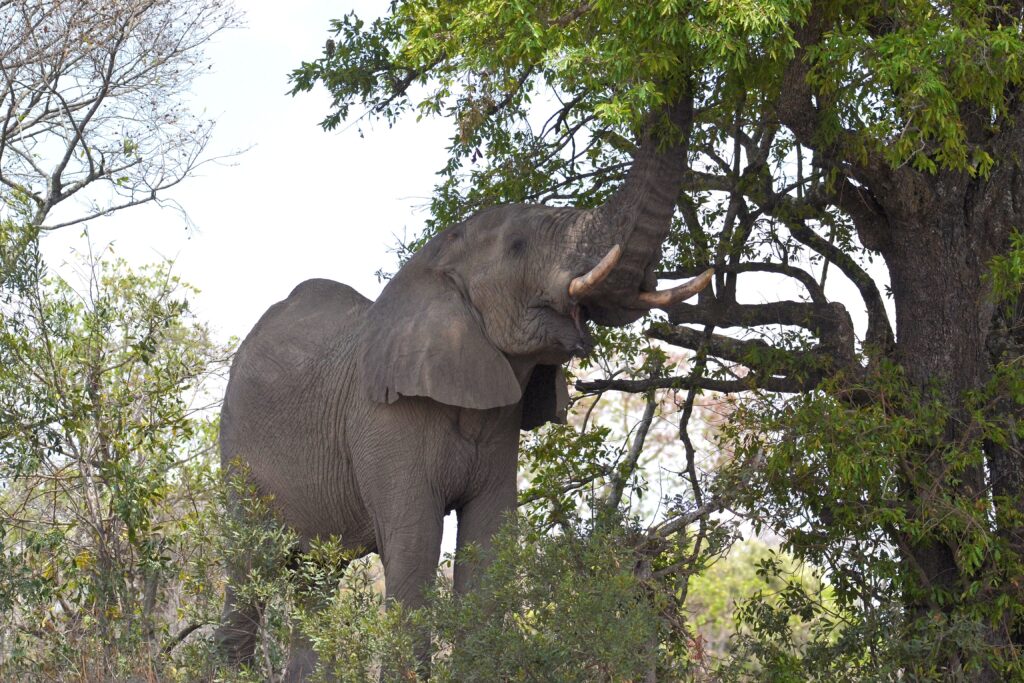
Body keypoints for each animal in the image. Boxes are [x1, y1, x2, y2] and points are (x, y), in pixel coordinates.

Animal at [214, 99, 712, 680]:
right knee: (247, 567)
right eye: (519, 246)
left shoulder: (500, 421)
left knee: (315, 580)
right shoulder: (384, 422)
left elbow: (489, 545)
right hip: (237, 454)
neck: (433, 265)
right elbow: (415, 546)